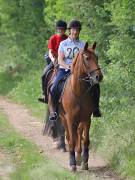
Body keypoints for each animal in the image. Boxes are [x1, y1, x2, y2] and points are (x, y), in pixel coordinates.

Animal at [45, 42, 102, 172]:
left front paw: (85, 162)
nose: (99, 77)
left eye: (97, 58)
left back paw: (79, 156)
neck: (78, 91)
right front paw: (72, 164)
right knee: (68, 135)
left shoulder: (86, 119)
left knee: (78, 134)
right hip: (63, 117)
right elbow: (71, 140)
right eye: (87, 58)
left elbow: (86, 140)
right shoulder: (70, 119)